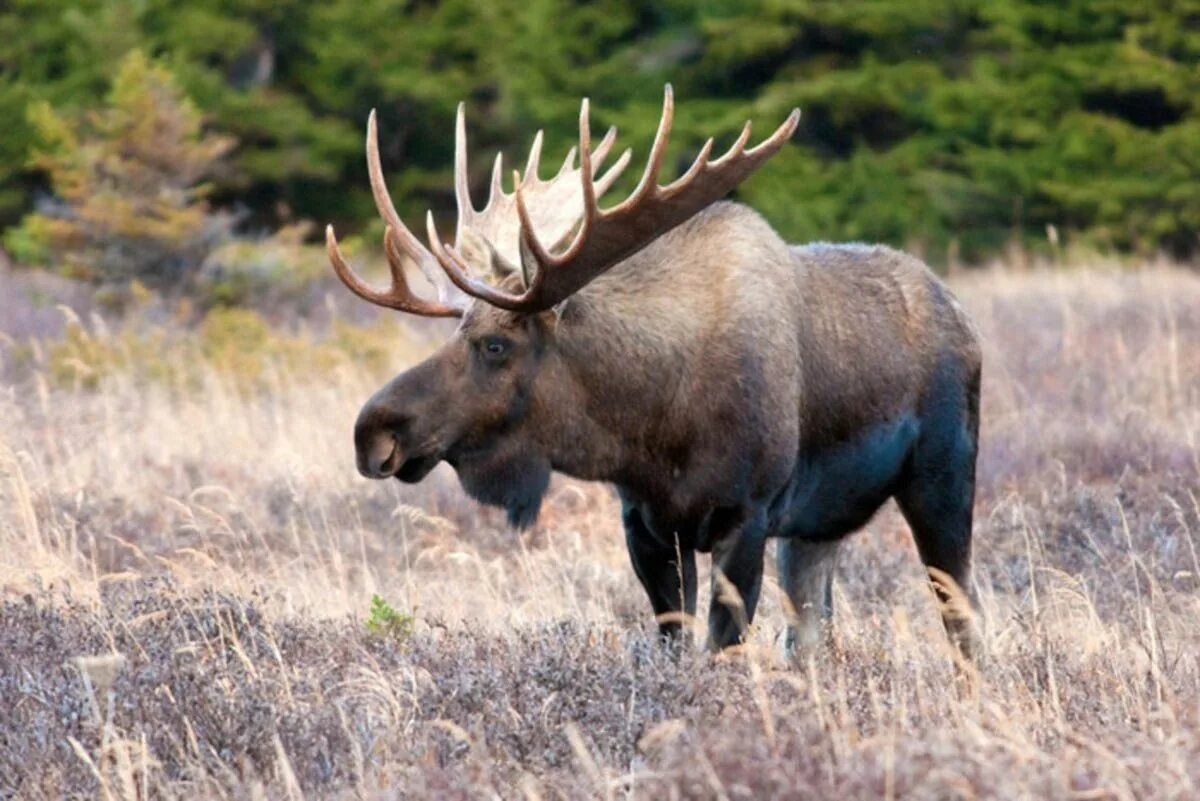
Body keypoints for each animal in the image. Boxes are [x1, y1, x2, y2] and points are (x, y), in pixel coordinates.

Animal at [324, 87, 979, 661]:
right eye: (455, 334)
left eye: (494, 344)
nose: (373, 431)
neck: (656, 427)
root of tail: (960, 312)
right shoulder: (646, 523)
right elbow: (674, 646)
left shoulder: (747, 516)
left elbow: (721, 651)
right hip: (817, 528)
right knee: (810, 637)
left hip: (943, 479)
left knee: (962, 617)